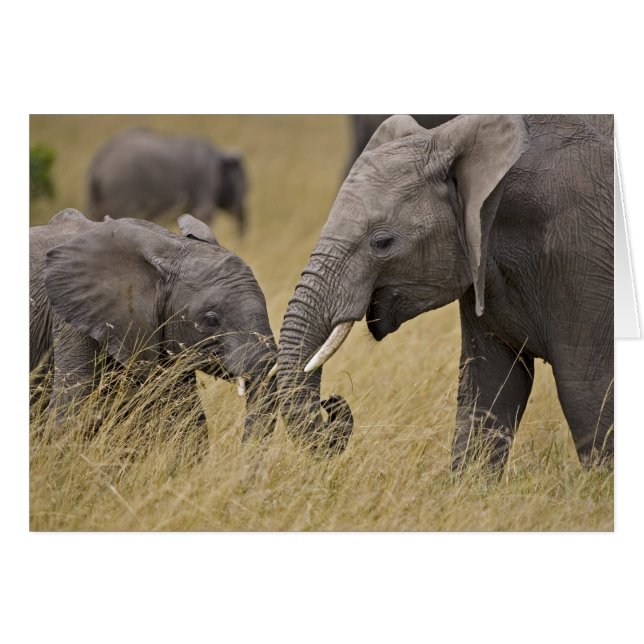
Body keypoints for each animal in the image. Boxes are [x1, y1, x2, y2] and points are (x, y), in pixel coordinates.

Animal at [86, 128, 248, 235]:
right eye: (246, 186)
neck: (220, 155)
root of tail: (97, 163)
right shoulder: (205, 178)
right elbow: (203, 214)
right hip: (122, 187)